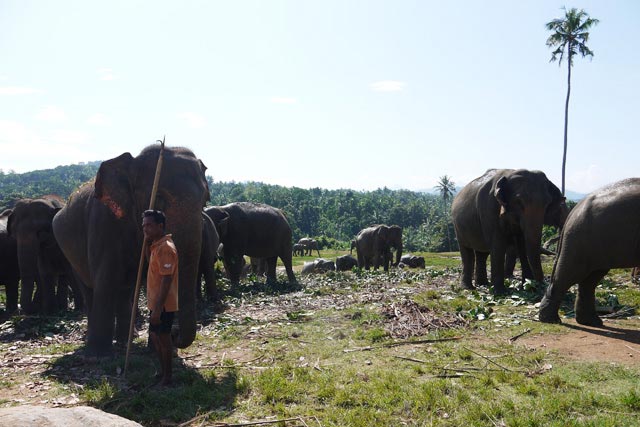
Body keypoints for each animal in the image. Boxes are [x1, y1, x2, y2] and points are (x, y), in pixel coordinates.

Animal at [53, 145, 208, 358]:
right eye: (159, 199)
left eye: (205, 202)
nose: (174, 333)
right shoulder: (103, 224)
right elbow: (106, 281)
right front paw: (99, 355)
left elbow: (153, 280)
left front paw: (156, 351)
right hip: (68, 251)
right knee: (90, 289)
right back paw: (94, 345)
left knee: (126, 291)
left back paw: (127, 339)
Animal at [540, 179, 640, 326]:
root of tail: (573, 212)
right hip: (581, 239)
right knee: (570, 274)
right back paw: (551, 320)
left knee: (591, 279)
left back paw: (591, 321)